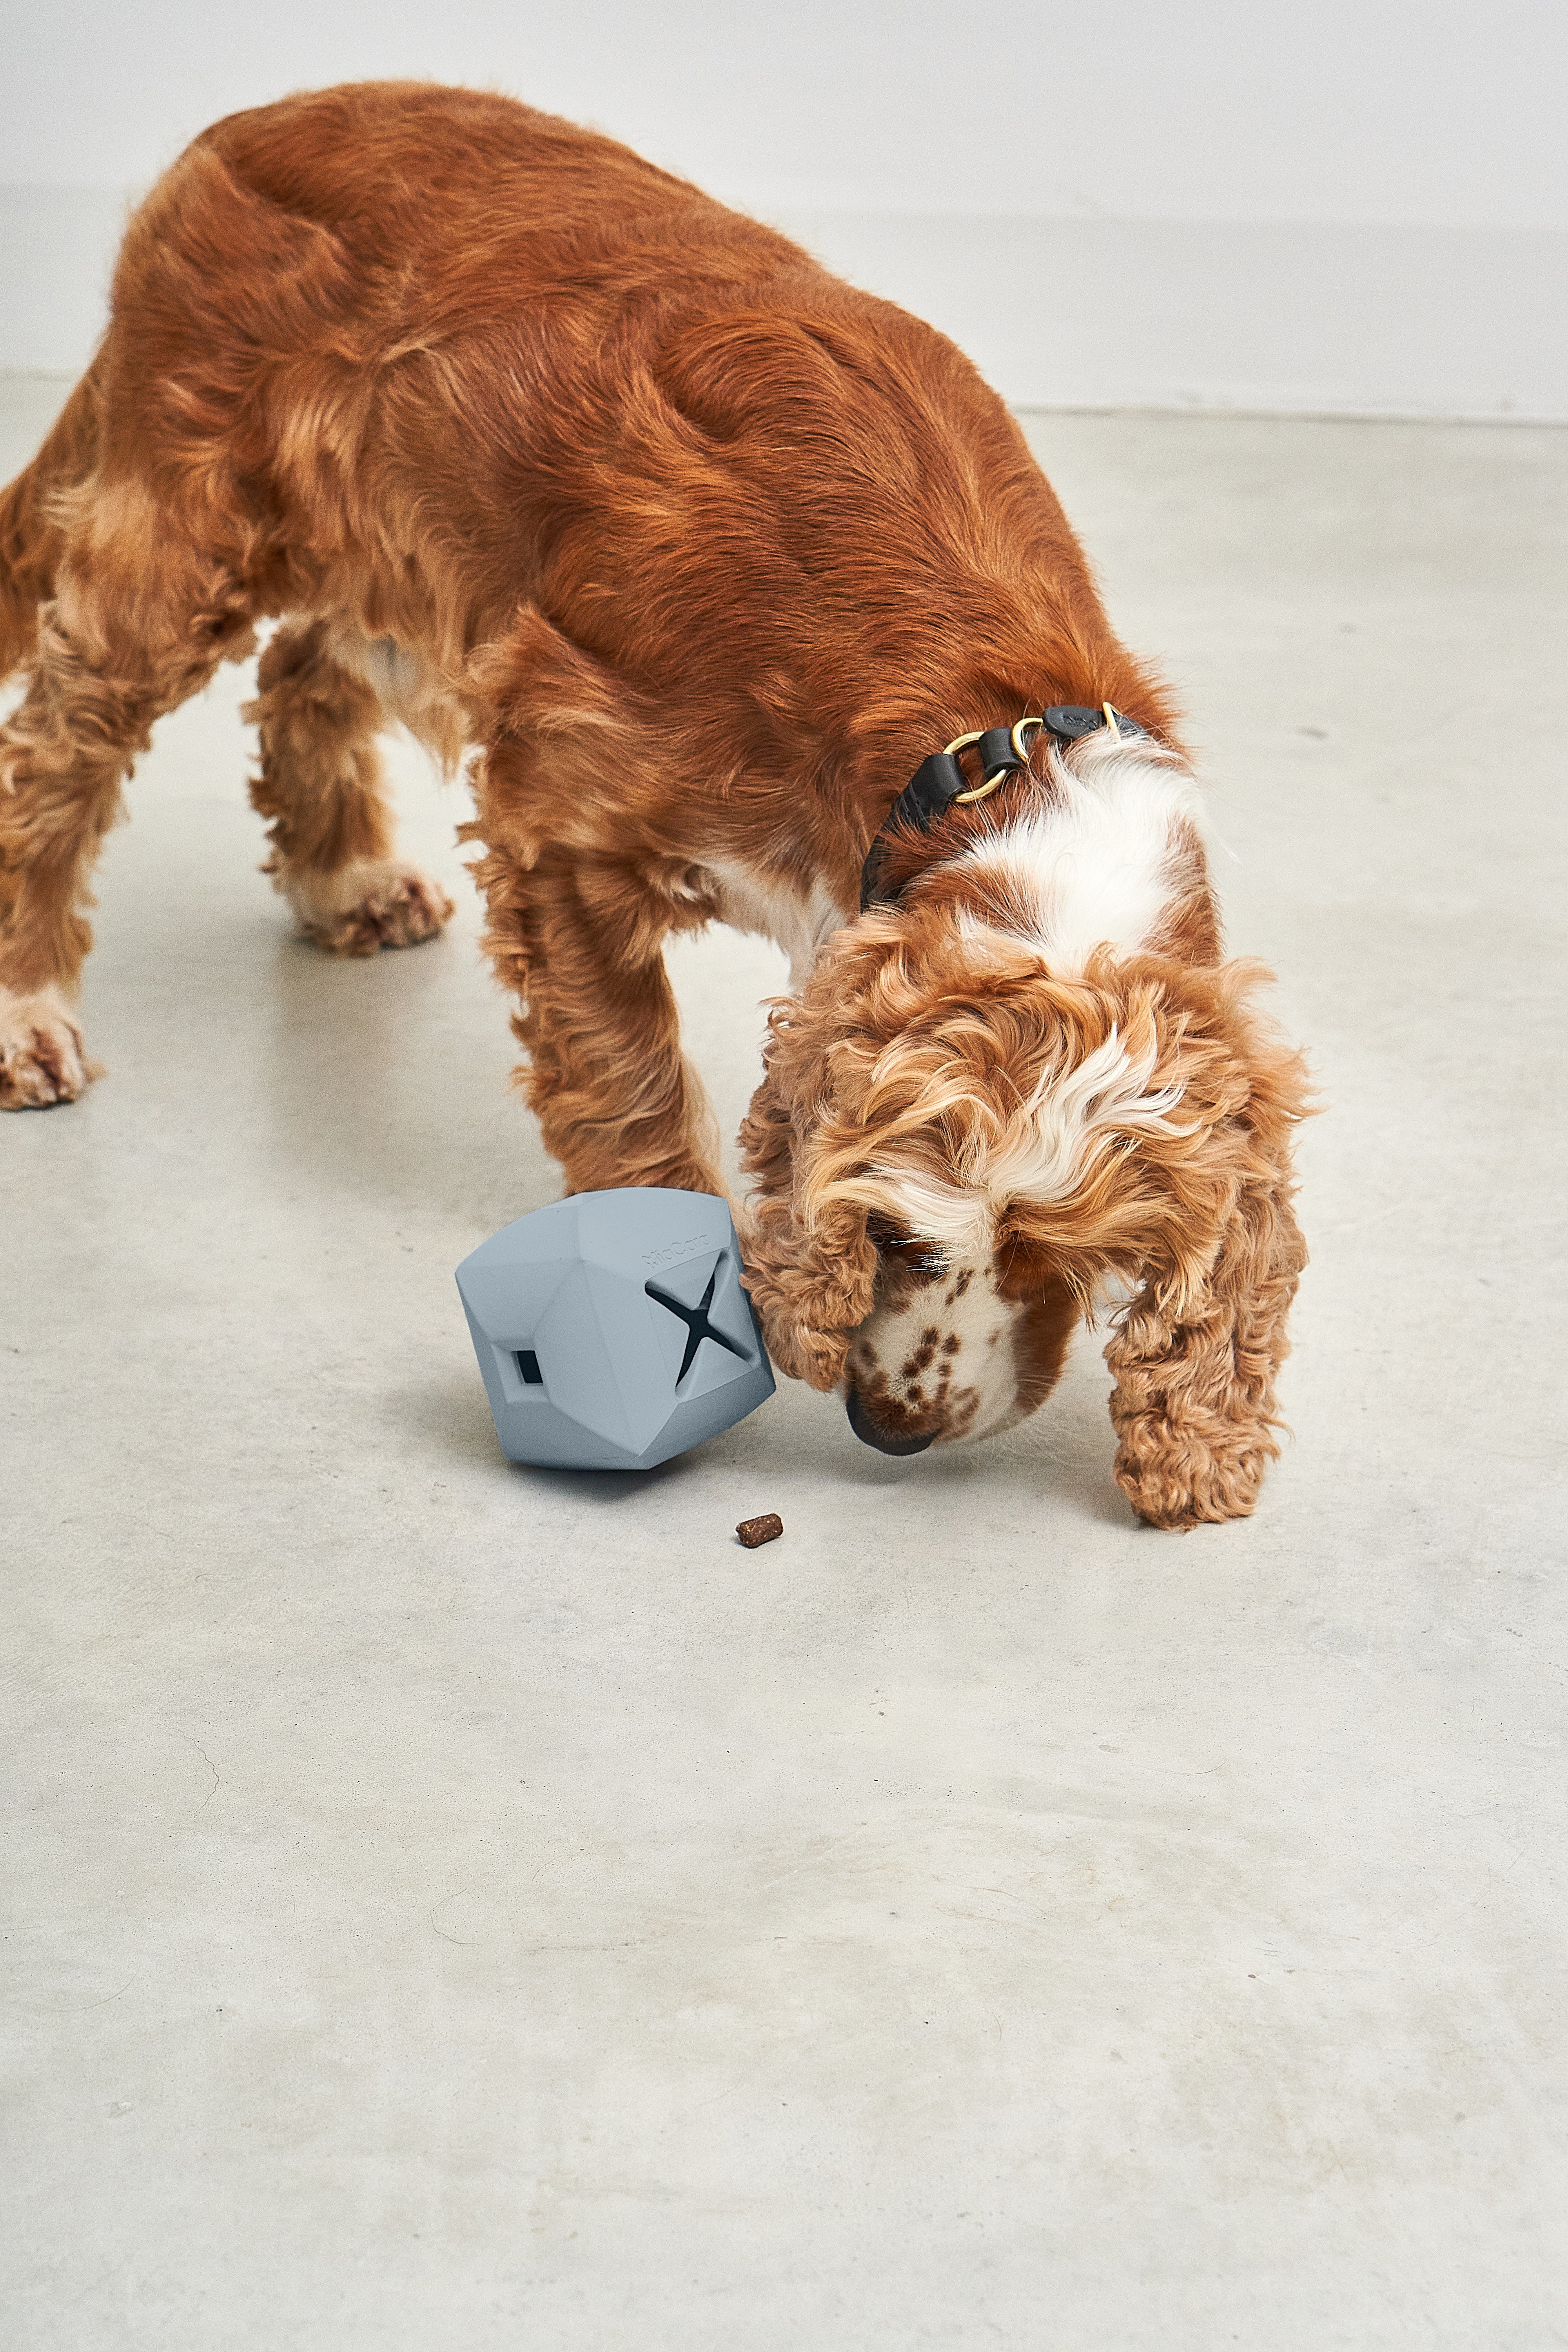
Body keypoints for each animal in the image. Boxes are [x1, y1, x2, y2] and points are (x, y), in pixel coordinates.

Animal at [0, 78, 1316, 1524]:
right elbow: (627, 1079)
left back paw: (347, 881)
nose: (887, 1430)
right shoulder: (559, 816)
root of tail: (238, 123)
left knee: (303, 668)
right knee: (53, 755)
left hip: (401, 559)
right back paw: (27, 1012)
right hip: (184, 538)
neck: (982, 741)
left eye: (1061, 1259)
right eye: (898, 1235)